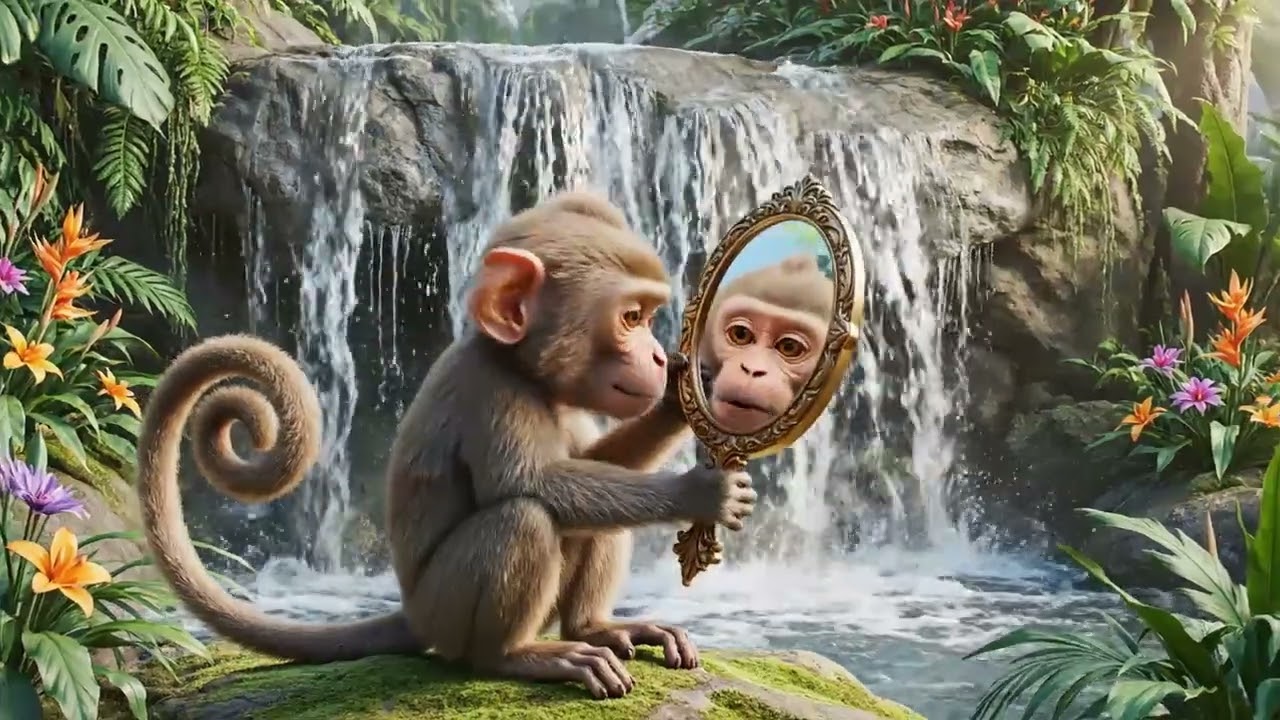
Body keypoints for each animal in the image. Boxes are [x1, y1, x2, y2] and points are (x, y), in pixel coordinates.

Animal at [135, 190, 757, 701]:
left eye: (650, 317)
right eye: (631, 317)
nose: (655, 355)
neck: (526, 371)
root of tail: (412, 610)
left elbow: (591, 468)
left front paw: (680, 400)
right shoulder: (491, 390)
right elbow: (534, 483)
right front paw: (699, 491)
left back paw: (595, 628)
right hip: (446, 608)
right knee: (525, 518)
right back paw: (516, 656)